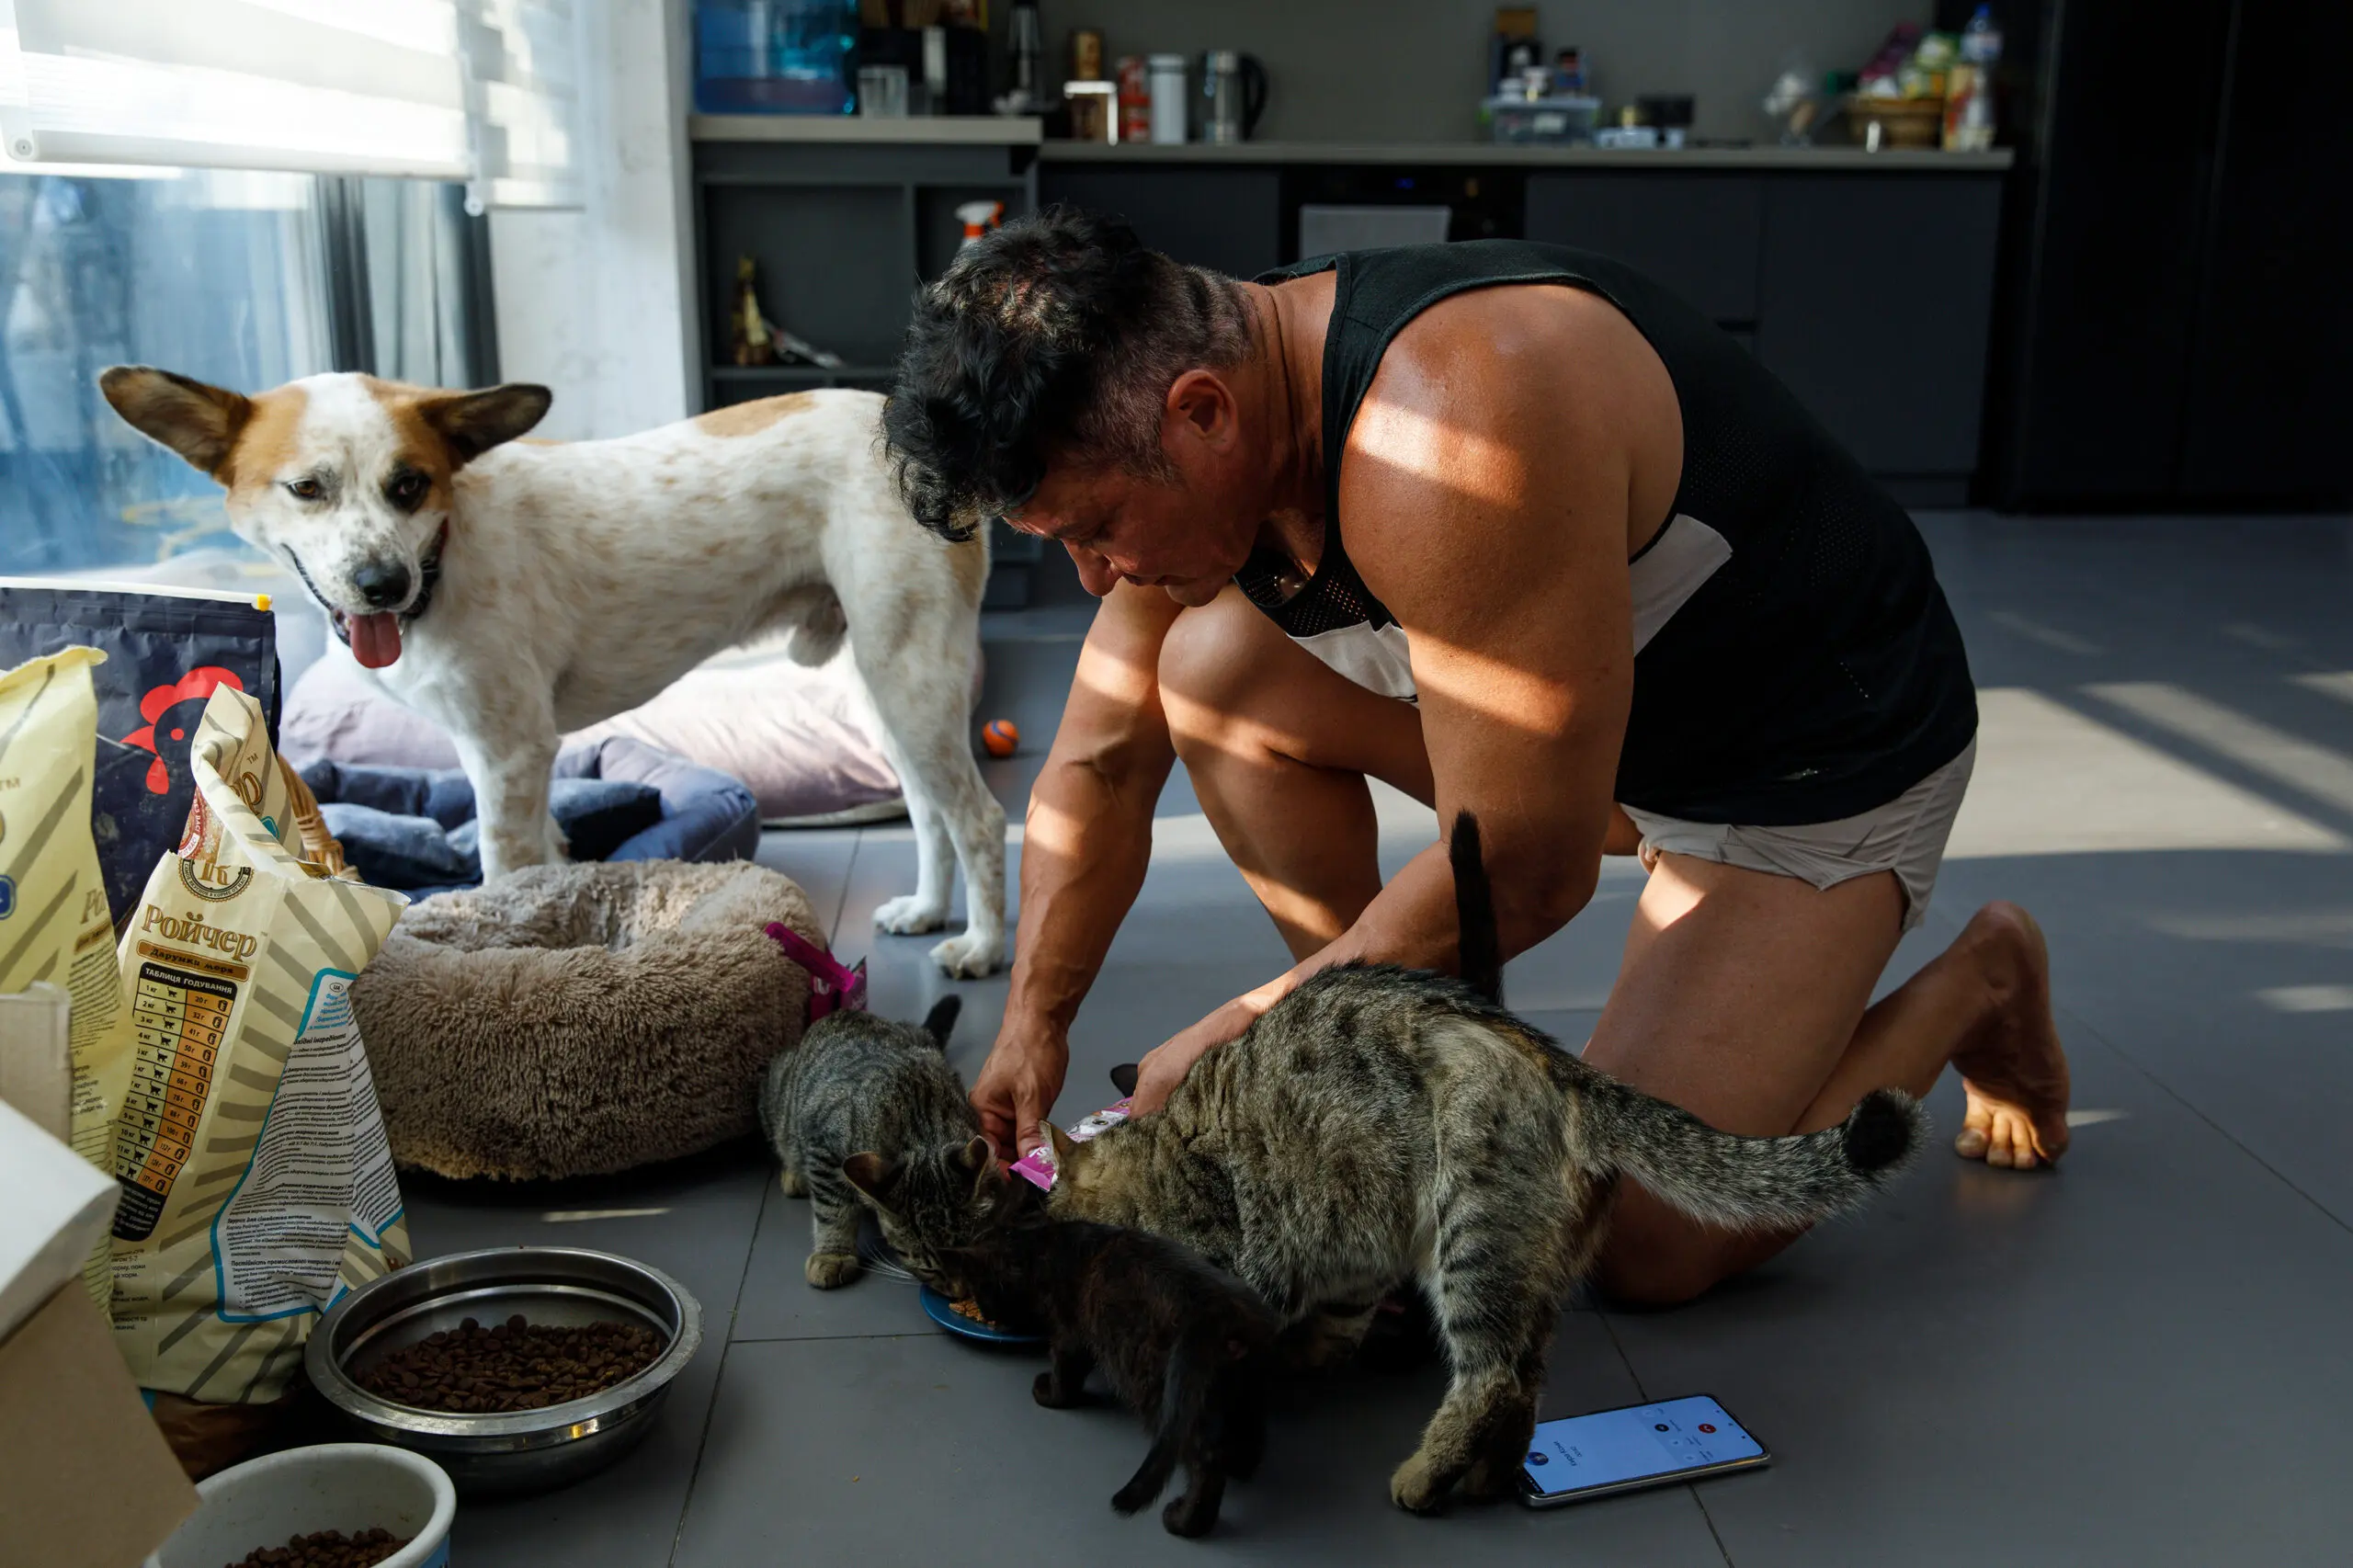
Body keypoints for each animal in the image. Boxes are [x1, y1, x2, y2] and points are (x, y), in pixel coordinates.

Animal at [103, 371, 1002, 970]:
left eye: (409, 484)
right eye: (306, 488)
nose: (381, 584)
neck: (446, 551)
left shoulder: (507, 753)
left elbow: (505, 877)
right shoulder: (517, 765)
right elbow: (545, 869)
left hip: (911, 677)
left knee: (980, 820)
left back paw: (984, 946)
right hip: (884, 692)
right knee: (930, 813)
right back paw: (928, 910)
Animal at [757, 988, 1006, 1280]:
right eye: (928, 1267)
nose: (956, 1289)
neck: (921, 1128)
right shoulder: (823, 1146)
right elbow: (832, 1209)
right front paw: (833, 1254)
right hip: (777, 1097)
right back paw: (795, 1174)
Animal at [941, 1200, 1279, 1535]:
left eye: (979, 1292)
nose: (987, 1315)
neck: (1038, 1246)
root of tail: (1219, 1316)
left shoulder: (1071, 1334)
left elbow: (1065, 1374)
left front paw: (1047, 1394)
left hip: (1163, 1393)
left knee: (1205, 1463)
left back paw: (1186, 1521)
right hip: (1249, 1391)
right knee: (1250, 1439)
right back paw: (1238, 1466)